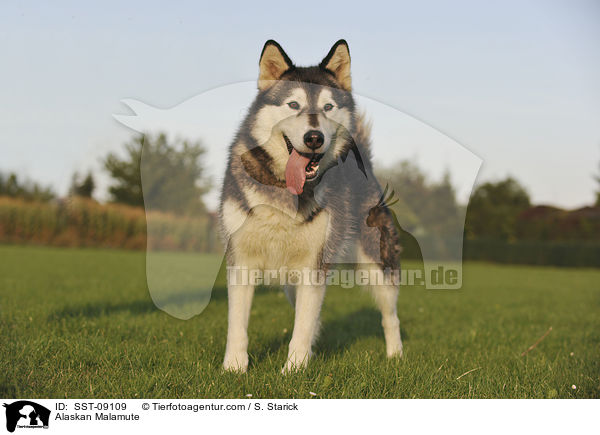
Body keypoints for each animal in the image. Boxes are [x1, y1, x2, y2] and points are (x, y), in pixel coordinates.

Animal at [217, 39, 404, 372]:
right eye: (294, 105)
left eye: (328, 107)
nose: (314, 137)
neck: (287, 191)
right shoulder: (241, 259)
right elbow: (238, 323)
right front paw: (234, 368)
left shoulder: (314, 265)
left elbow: (302, 326)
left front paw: (294, 370)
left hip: (377, 265)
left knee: (389, 315)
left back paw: (395, 355)